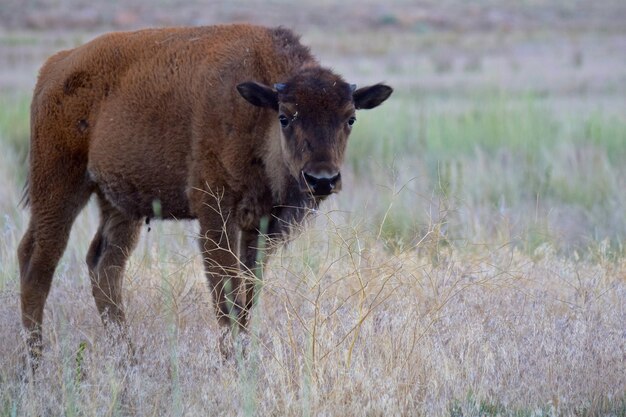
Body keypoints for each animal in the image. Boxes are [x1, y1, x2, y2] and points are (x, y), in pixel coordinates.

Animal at [18, 22, 390, 360]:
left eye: (350, 118)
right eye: (286, 116)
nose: (321, 179)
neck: (257, 113)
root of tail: (55, 67)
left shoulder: (260, 227)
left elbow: (247, 294)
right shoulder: (216, 216)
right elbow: (226, 294)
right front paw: (233, 363)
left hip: (120, 205)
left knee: (105, 265)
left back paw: (127, 357)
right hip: (59, 184)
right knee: (38, 261)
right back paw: (34, 362)